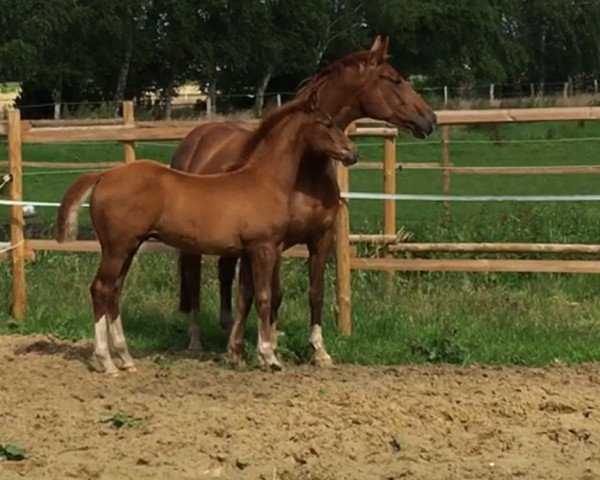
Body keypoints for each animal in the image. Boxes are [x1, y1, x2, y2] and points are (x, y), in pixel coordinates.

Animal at [55, 91, 356, 376]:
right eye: (327, 123)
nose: (352, 154)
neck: (263, 180)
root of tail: (103, 175)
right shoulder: (264, 247)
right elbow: (264, 297)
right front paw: (269, 357)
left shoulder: (250, 250)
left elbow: (246, 296)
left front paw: (245, 353)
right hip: (117, 247)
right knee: (101, 289)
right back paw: (106, 361)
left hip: (128, 247)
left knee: (114, 291)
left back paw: (125, 359)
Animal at [171, 35, 438, 366]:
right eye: (395, 79)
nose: (429, 119)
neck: (304, 168)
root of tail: (196, 138)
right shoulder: (275, 243)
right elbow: (267, 293)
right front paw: (260, 349)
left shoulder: (320, 238)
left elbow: (313, 293)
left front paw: (315, 350)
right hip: (193, 245)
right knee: (193, 284)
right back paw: (196, 340)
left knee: (224, 273)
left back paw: (227, 330)